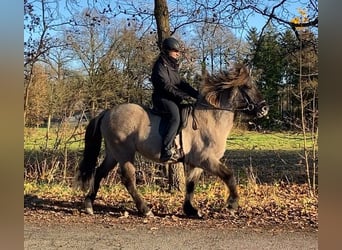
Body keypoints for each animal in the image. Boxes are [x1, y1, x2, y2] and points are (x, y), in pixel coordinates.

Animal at [75, 63, 270, 218]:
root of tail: (108, 112)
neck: (211, 119)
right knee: (128, 180)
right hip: (124, 153)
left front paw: (191, 210)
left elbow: (190, 184)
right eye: (247, 86)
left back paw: (89, 205)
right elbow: (228, 175)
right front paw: (232, 205)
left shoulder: (197, 162)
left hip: (113, 153)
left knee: (99, 173)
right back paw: (145, 209)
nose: (265, 109)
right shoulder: (206, 159)